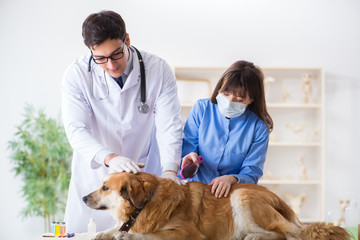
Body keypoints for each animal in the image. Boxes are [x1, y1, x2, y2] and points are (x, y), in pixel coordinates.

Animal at [83, 172, 348, 239]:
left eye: (105, 187)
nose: (84, 198)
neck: (146, 202)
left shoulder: (187, 232)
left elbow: (151, 235)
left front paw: (129, 236)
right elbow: (115, 228)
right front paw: (102, 233)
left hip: (241, 195)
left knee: (288, 235)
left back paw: (255, 236)